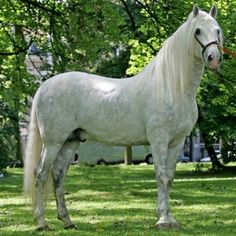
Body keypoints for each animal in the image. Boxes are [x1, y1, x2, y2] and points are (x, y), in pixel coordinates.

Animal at [24, 5, 223, 230]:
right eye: (197, 31)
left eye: (217, 31)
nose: (214, 59)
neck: (172, 87)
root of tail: (44, 86)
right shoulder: (159, 140)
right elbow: (162, 177)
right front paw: (163, 220)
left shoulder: (177, 142)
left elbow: (170, 178)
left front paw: (170, 219)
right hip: (53, 142)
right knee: (40, 173)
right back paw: (42, 222)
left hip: (70, 141)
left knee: (58, 175)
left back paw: (67, 221)